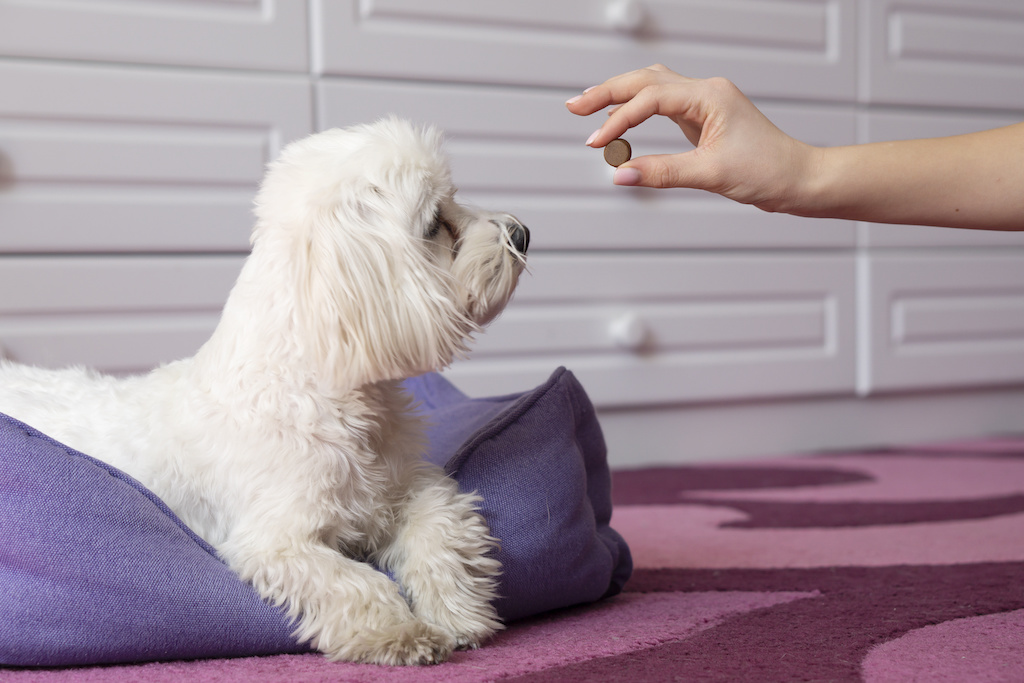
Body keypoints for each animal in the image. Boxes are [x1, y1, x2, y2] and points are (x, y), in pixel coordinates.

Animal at [0, 116, 528, 663]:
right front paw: (399, 632)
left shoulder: (408, 488)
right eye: (434, 224)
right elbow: (353, 581)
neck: (335, 398)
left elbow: (439, 524)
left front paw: (456, 613)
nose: (522, 232)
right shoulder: (276, 541)